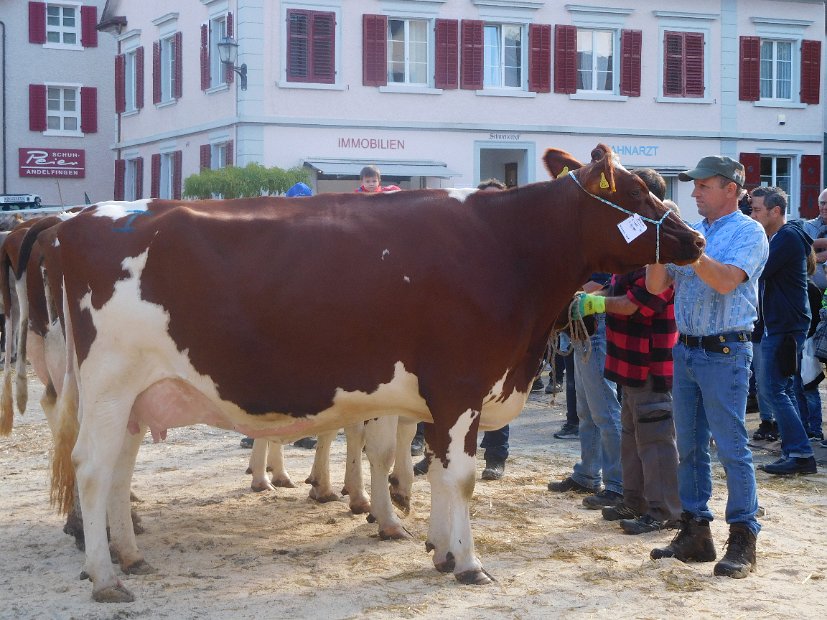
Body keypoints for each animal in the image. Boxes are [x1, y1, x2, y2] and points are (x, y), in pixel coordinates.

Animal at [48, 145, 700, 600]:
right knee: (94, 469)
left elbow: (430, 470)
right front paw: (468, 564)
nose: (693, 238)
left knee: (118, 470)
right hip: (109, 384)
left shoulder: (434, 397)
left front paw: (439, 550)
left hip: (137, 397)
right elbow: (459, 477)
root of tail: (80, 218)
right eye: (639, 192)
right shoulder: (460, 387)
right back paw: (105, 578)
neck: (506, 250)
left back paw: (130, 555)